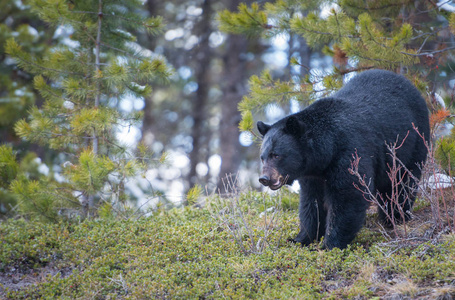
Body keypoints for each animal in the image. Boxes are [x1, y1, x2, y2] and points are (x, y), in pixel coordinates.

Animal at [258, 69, 430, 250]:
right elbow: (311, 201)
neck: (326, 151)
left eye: (276, 155)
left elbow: (348, 196)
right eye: (263, 157)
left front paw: (330, 244)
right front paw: (301, 238)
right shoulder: (311, 173)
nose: (264, 178)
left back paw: (395, 217)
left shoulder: (349, 152)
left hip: (412, 143)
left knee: (402, 182)